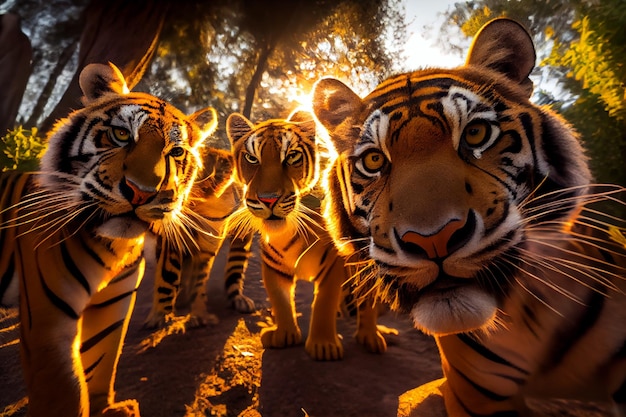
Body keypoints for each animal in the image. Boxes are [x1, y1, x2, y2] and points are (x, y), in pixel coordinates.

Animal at [0, 62, 217, 416]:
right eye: (121, 135)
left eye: (175, 152)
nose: (142, 193)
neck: (114, 247)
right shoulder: (49, 315)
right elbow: (64, 390)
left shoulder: (115, 300)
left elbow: (102, 358)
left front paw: (105, 407)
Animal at [143, 145, 254, 328]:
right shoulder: (174, 240)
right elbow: (168, 277)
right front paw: (160, 316)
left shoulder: (209, 244)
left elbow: (201, 280)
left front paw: (199, 314)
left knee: (235, 266)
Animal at [224, 110, 390, 360]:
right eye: (252, 159)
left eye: (291, 157)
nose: (268, 199)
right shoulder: (273, 266)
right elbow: (281, 300)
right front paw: (284, 334)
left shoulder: (332, 266)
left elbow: (324, 302)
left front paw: (323, 345)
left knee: (367, 299)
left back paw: (370, 337)